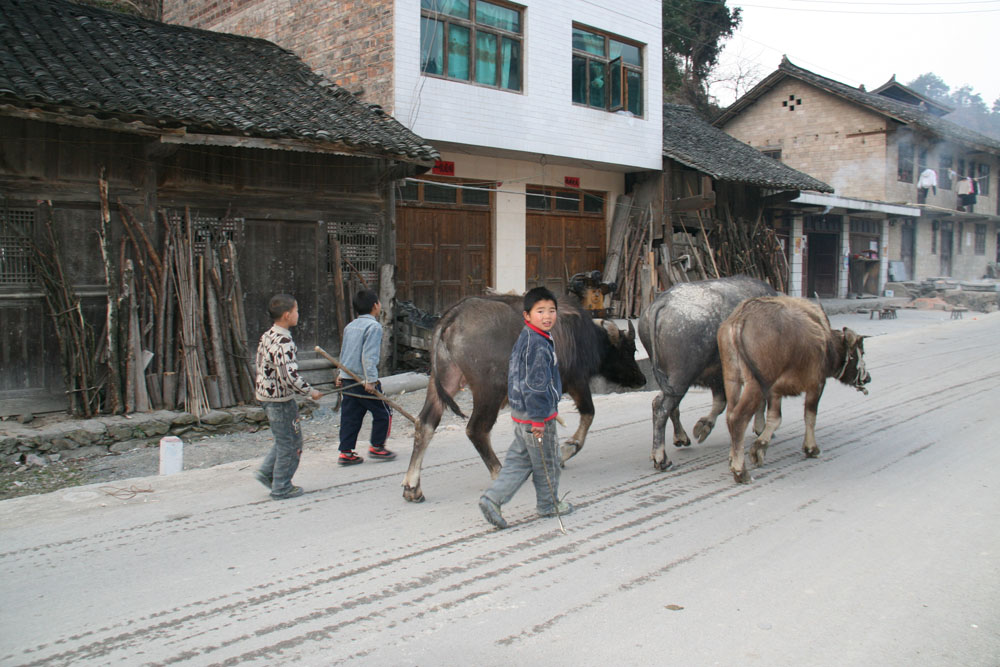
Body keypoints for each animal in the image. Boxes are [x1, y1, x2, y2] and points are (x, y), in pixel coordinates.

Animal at [402, 294, 644, 504]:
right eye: (628, 349)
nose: (641, 379)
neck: (580, 335)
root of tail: (454, 316)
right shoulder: (576, 380)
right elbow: (588, 413)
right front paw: (566, 451)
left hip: (444, 379)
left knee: (425, 423)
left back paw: (413, 487)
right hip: (490, 389)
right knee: (476, 429)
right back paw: (500, 474)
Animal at [636, 274, 776, 472]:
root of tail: (662, 302)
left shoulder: (718, 377)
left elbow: (720, 403)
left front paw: (703, 427)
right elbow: (756, 401)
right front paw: (760, 428)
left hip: (672, 379)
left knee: (668, 405)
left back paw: (681, 438)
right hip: (681, 377)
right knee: (661, 407)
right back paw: (661, 458)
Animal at [716, 294, 872, 482]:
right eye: (861, 352)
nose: (868, 378)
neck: (827, 345)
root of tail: (740, 319)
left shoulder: (775, 391)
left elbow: (775, 419)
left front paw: (759, 450)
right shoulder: (816, 384)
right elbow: (810, 416)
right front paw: (811, 448)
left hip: (732, 378)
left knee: (730, 414)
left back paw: (733, 458)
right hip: (756, 384)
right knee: (738, 418)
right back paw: (741, 471)